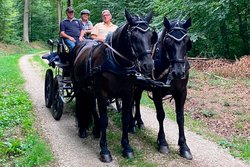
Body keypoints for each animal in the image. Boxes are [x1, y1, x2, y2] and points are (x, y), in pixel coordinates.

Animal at [72, 9, 156, 162]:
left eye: (150, 36)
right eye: (134, 37)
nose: (148, 65)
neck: (117, 62)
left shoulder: (128, 94)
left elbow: (125, 119)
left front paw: (127, 147)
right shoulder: (102, 94)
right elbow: (104, 120)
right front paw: (104, 150)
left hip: (90, 90)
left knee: (91, 106)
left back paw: (96, 130)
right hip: (79, 86)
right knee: (82, 103)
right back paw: (82, 129)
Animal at [133, 17, 193, 160]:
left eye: (186, 41)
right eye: (168, 41)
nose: (178, 72)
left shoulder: (182, 93)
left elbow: (180, 117)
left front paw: (184, 146)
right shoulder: (157, 91)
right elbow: (161, 115)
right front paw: (162, 142)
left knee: (137, 99)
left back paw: (139, 121)